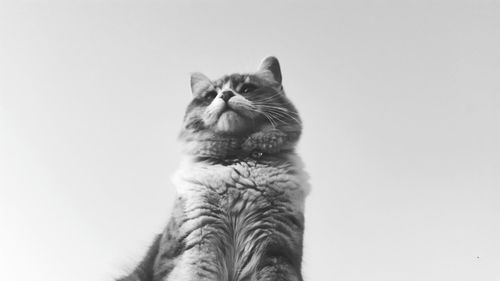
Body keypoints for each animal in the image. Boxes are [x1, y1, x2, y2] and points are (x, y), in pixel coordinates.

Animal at [119, 56, 310, 280]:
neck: (237, 160)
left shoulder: (275, 248)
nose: (226, 94)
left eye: (247, 89)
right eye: (210, 95)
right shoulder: (199, 244)